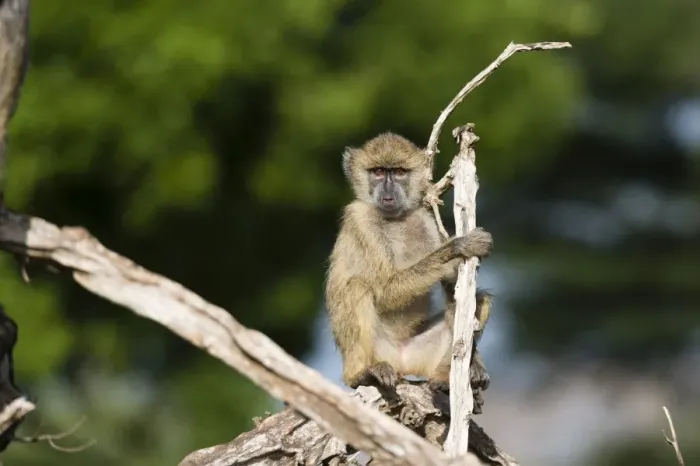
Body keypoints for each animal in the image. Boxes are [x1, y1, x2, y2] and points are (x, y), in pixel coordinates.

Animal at [325, 132, 494, 404]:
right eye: (378, 171)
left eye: (400, 172)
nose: (388, 195)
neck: (395, 219)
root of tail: (401, 362)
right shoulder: (360, 218)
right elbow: (385, 290)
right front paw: (458, 247)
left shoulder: (424, 219)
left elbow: (455, 293)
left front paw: (475, 365)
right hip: (379, 351)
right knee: (357, 287)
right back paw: (361, 374)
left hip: (420, 354)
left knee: (479, 300)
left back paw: (444, 378)